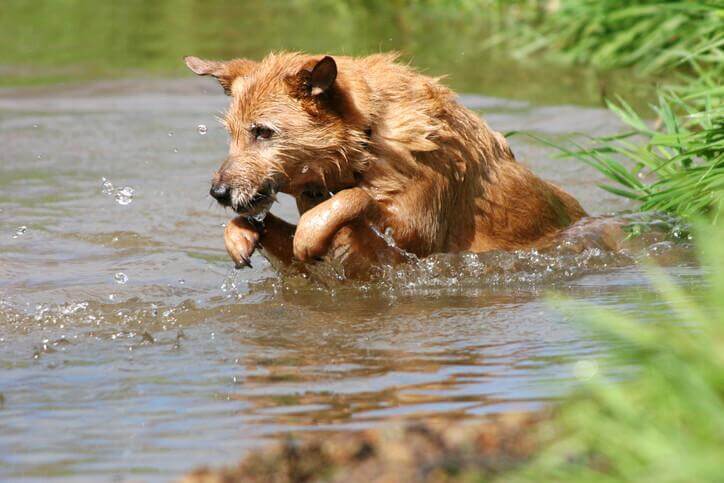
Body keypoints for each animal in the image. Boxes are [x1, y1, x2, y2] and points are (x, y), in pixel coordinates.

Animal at [184, 52, 584, 280]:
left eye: (263, 131)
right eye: (231, 133)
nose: (218, 192)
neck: (368, 141)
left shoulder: (413, 240)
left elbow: (354, 201)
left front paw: (311, 232)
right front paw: (241, 233)